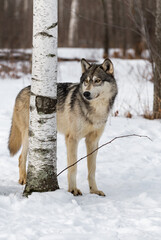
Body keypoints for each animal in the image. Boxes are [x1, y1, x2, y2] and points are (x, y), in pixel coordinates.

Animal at [8, 57, 117, 195]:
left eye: (97, 81)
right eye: (86, 81)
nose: (86, 94)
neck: (95, 110)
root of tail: (21, 91)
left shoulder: (93, 141)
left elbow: (92, 170)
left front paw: (94, 191)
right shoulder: (72, 139)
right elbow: (73, 167)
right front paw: (73, 190)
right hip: (30, 136)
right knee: (21, 157)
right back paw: (23, 180)